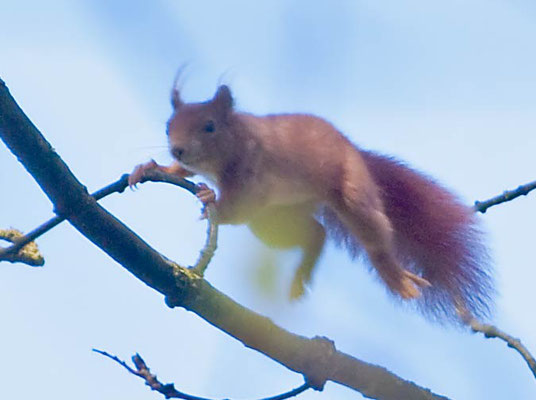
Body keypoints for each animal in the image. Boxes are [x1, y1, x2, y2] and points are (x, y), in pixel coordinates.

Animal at [129, 82, 494, 322]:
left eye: (209, 126)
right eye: (168, 127)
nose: (177, 149)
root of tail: (354, 150)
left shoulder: (253, 173)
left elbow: (238, 206)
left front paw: (210, 199)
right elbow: (183, 172)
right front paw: (152, 168)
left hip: (350, 190)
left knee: (373, 235)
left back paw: (397, 277)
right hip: (274, 220)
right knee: (317, 233)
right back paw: (300, 277)